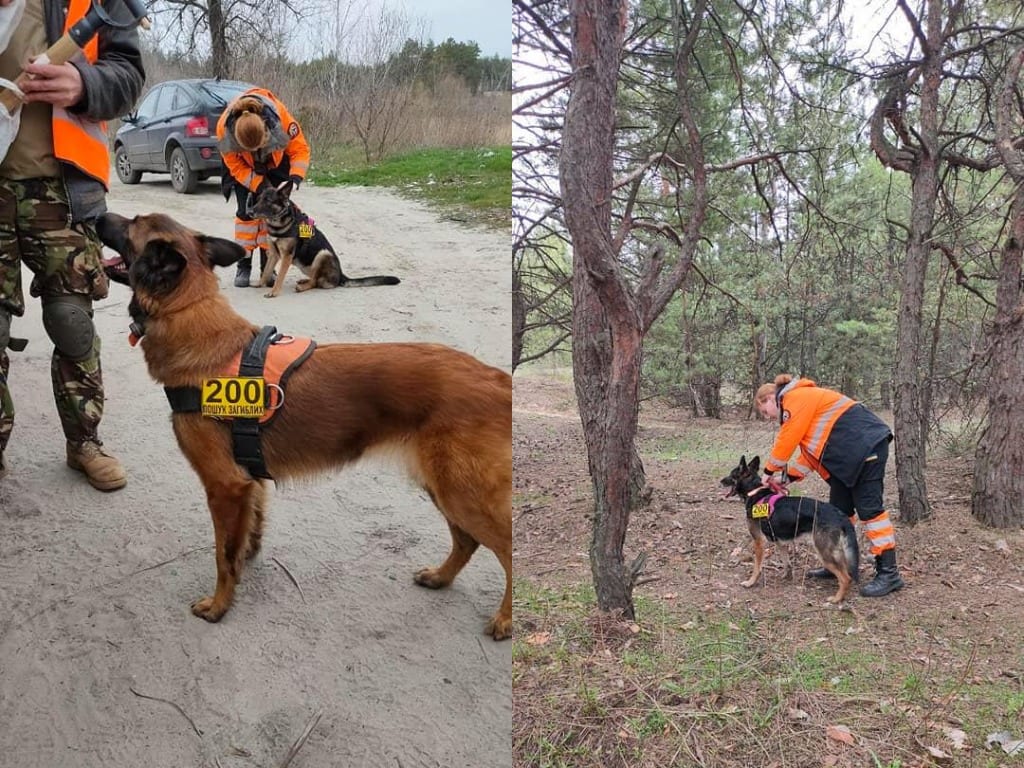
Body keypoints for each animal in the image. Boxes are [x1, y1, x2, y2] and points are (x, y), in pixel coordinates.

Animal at [96, 210, 512, 638]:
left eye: (129, 224)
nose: (97, 215)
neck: (188, 310)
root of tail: (496, 378)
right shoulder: (249, 481)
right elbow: (249, 531)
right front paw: (248, 559)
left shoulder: (224, 487)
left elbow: (223, 555)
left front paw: (219, 605)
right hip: (444, 488)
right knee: (467, 541)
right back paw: (442, 577)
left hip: (462, 493)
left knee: (505, 548)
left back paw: (505, 618)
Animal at [249, 182, 401, 299]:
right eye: (259, 198)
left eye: (268, 201)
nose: (250, 212)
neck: (278, 224)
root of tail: (341, 275)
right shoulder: (273, 254)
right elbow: (267, 270)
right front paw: (260, 284)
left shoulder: (286, 256)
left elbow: (280, 276)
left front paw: (274, 292)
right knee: (316, 279)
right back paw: (304, 280)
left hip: (323, 254)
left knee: (316, 282)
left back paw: (303, 287)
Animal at [724, 454, 860, 606]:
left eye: (731, 475)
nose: (721, 481)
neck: (755, 491)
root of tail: (840, 514)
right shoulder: (779, 542)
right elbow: (786, 562)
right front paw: (786, 576)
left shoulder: (758, 541)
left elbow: (757, 567)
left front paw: (751, 582)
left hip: (824, 552)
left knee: (845, 577)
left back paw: (837, 598)